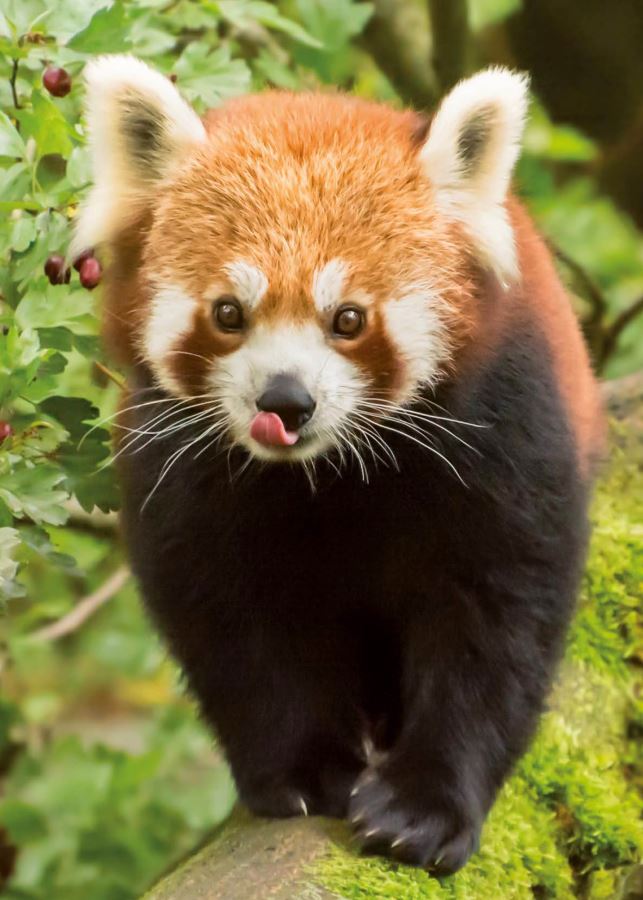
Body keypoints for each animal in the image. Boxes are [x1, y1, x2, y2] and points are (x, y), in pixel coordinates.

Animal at [72, 57, 603, 874]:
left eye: (347, 319)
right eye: (229, 314)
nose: (285, 401)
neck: (328, 471)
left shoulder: (504, 421)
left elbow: (496, 613)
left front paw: (425, 807)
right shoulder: (180, 456)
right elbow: (231, 618)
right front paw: (304, 769)